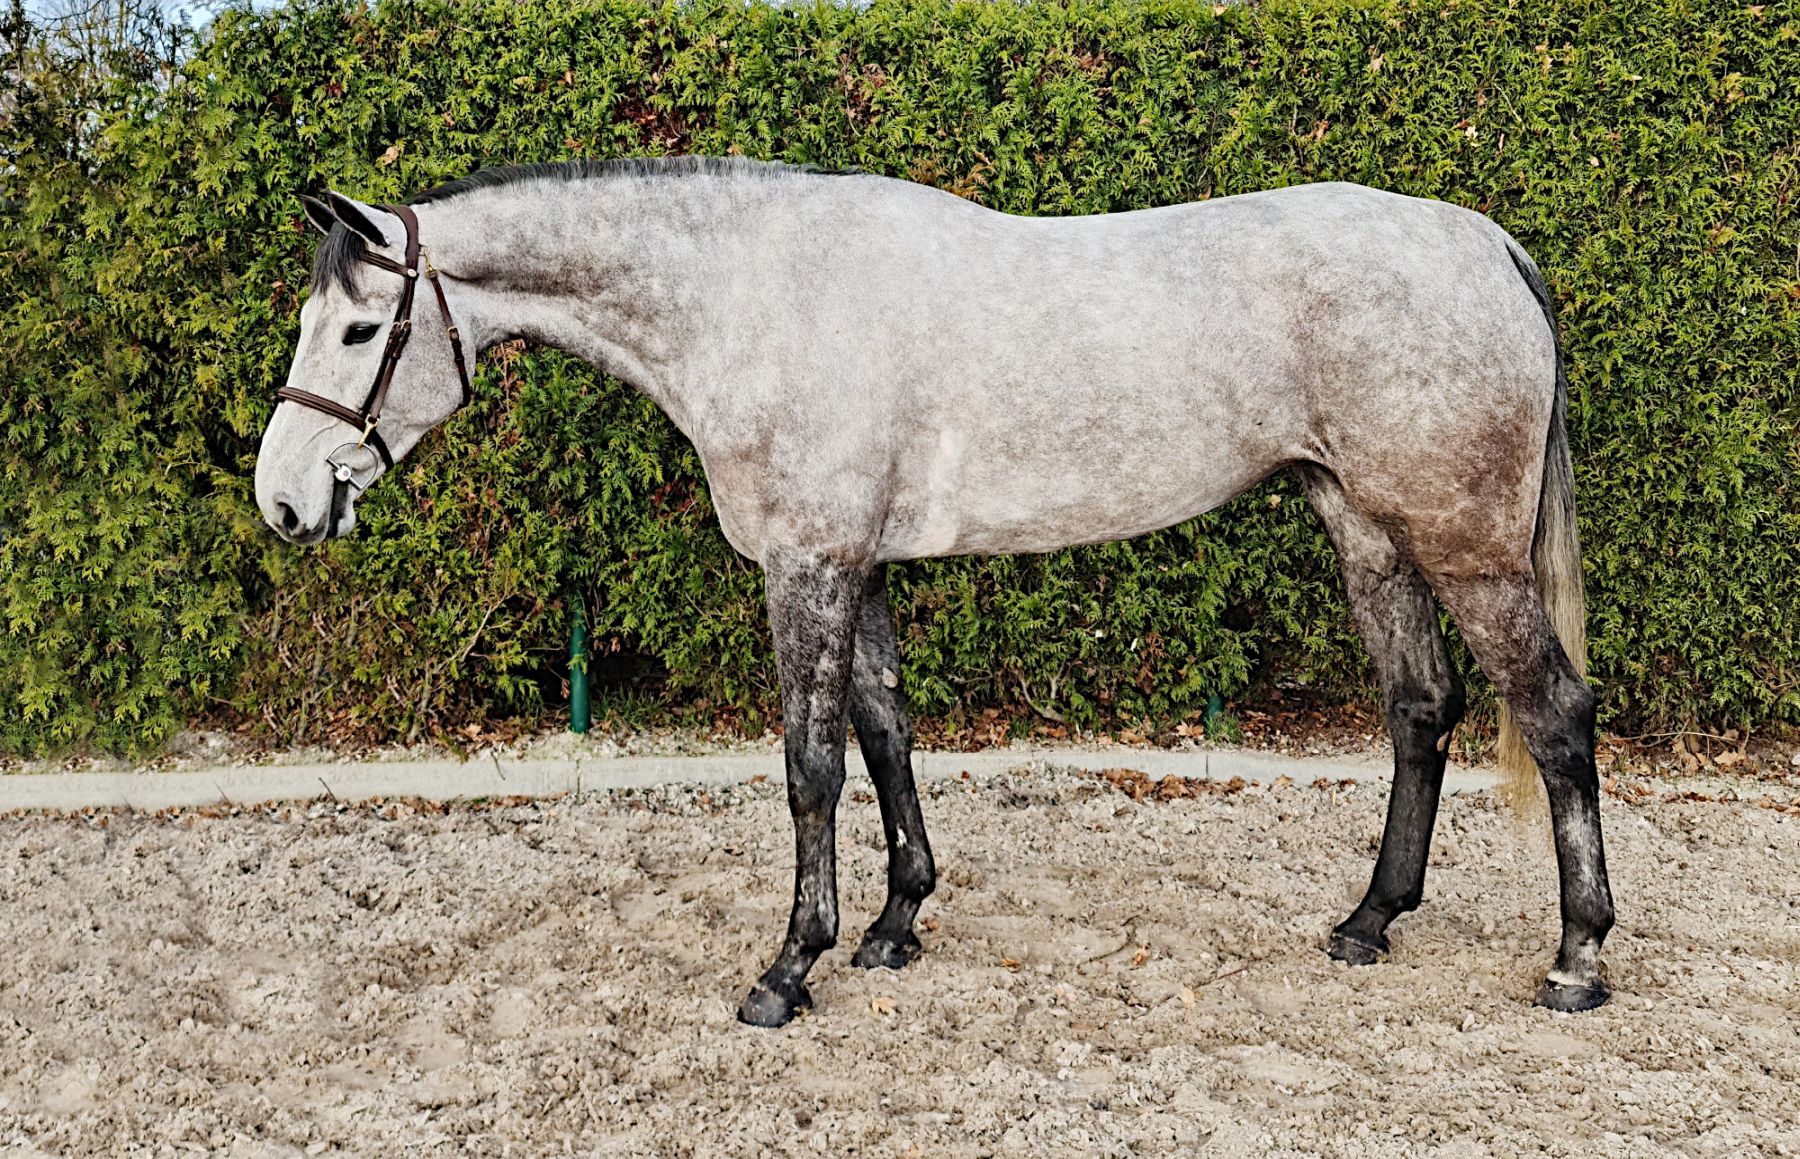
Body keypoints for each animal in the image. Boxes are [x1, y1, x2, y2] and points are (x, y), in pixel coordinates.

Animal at [255, 157, 1614, 1028]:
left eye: (361, 330)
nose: (283, 501)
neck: (753, 297)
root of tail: (1482, 241)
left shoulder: (807, 566)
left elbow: (811, 766)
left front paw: (788, 969)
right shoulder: (857, 568)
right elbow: (886, 732)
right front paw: (896, 923)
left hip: (1468, 550)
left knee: (1553, 714)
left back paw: (1578, 958)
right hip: (1367, 530)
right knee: (1421, 710)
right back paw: (1370, 921)